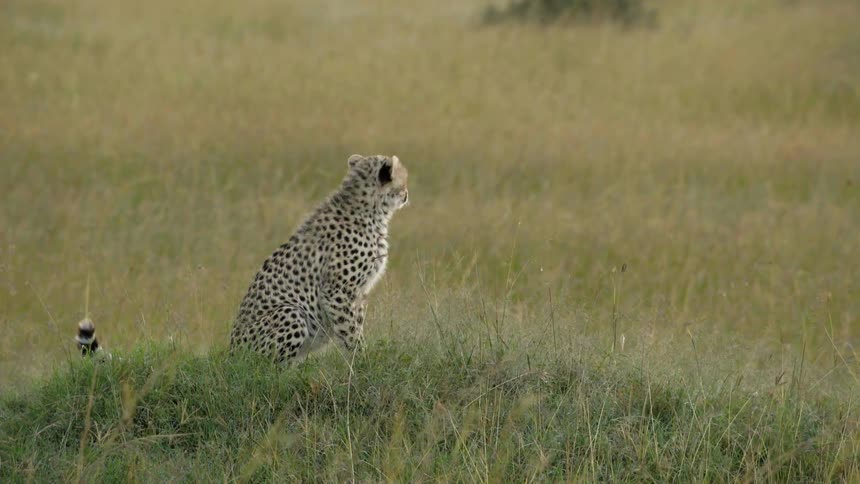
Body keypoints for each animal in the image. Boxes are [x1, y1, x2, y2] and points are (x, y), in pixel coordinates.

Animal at [229, 154, 409, 363]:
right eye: (403, 180)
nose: (406, 194)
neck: (370, 209)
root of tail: (231, 353)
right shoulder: (337, 291)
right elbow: (351, 331)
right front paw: (362, 360)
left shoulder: (359, 292)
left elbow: (354, 326)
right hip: (290, 312)